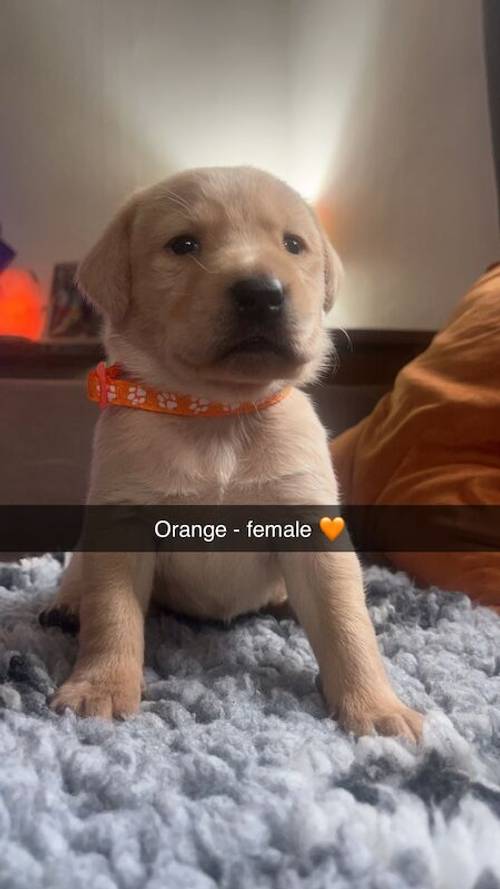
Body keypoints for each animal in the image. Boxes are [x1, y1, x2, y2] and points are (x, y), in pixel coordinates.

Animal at [44, 168, 422, 744]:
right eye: (183, 245)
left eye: (293, 245)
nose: (262, 294)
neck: (219, 415)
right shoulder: (122, 518)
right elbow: (112, 616)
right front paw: (101, 689)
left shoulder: (312, 523)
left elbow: (345, 624)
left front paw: (376, 707)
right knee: (79, 574)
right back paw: (66, 604)